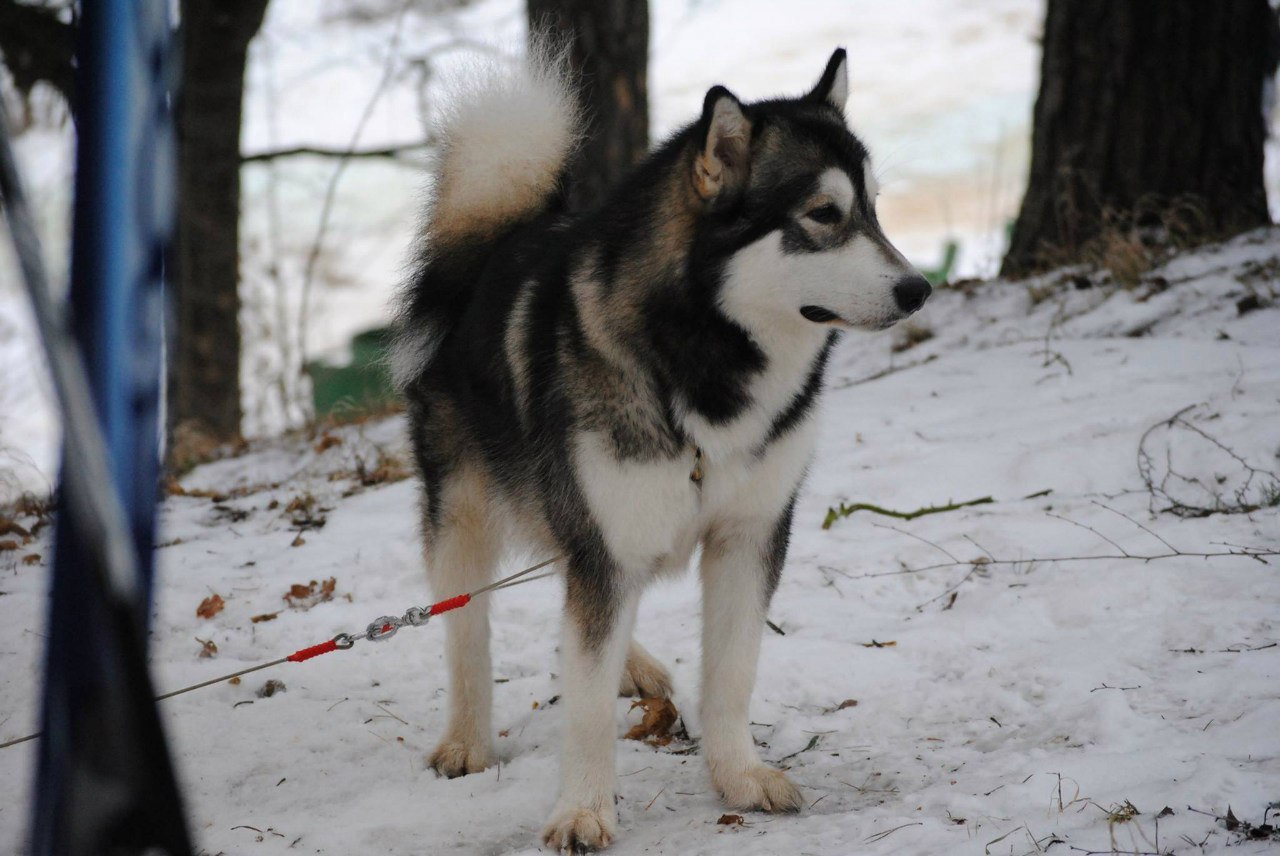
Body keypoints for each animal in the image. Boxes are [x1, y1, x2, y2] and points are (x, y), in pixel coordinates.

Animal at [391, 45, 931, 849]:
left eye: (873, 210)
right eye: (823, 215)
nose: (919, 288)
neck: (705, 365)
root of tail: (490, 243)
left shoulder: (749, 533)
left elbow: (732, 674)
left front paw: (738, 775)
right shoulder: (608, 538)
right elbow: (583, 704)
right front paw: (583, 810)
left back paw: (633, 667)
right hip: (464, 508)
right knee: (468, 629)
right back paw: (467, 738)